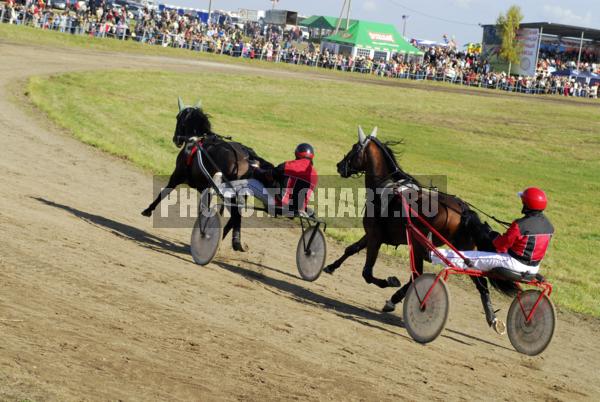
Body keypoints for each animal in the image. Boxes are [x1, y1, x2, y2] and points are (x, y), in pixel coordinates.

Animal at [142, 99, 274, 251]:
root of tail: (247, 155)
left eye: (178, 118)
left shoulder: (177, 176)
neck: (196, 142)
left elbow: (164, 192)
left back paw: (233, 241)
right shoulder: (207, 188)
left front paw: (148, 210)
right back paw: (228, 239)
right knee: (236, 216)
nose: (176, 139)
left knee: (236, 215)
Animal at [326, 127, 508, 332]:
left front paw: (389, 281)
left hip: (421, 242)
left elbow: (367, 273)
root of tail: (462, 209)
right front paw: (331, 266)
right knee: (480, 283)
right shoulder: (373, 234)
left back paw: (400, 299)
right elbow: (351, 249)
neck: (387, 187)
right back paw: (492, 317)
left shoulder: (375, 236)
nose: (339, 166)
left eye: (354, 148)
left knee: (418, 274)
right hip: (460, 247)